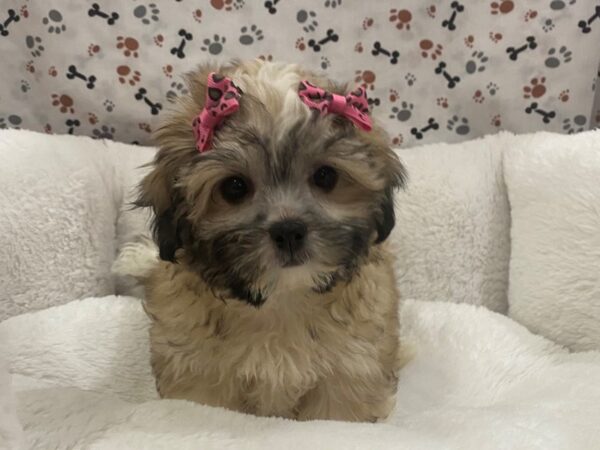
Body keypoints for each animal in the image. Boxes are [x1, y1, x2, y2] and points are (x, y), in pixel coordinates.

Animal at [131, 59, 406, 422]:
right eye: (234, 188)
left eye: (325, 176)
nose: (289, 230)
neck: (282, 298)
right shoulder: (198, 370)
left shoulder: (350, 368)